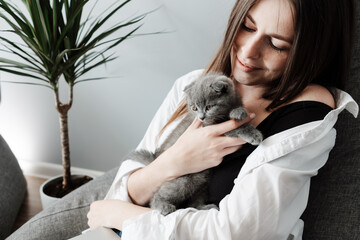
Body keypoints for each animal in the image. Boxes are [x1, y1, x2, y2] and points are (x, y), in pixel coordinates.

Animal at [126, 73, 262, 216]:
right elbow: (237, 128)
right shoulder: (210, 128)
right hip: (183, 179)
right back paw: (163, 206)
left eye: (209, 107)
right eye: (194, 108)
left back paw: (204, 207)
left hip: (202, 181)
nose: (201, 117)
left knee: (193, 202)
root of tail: (156, 157)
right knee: (158, 195)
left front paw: (239, 112)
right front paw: (254, 134)